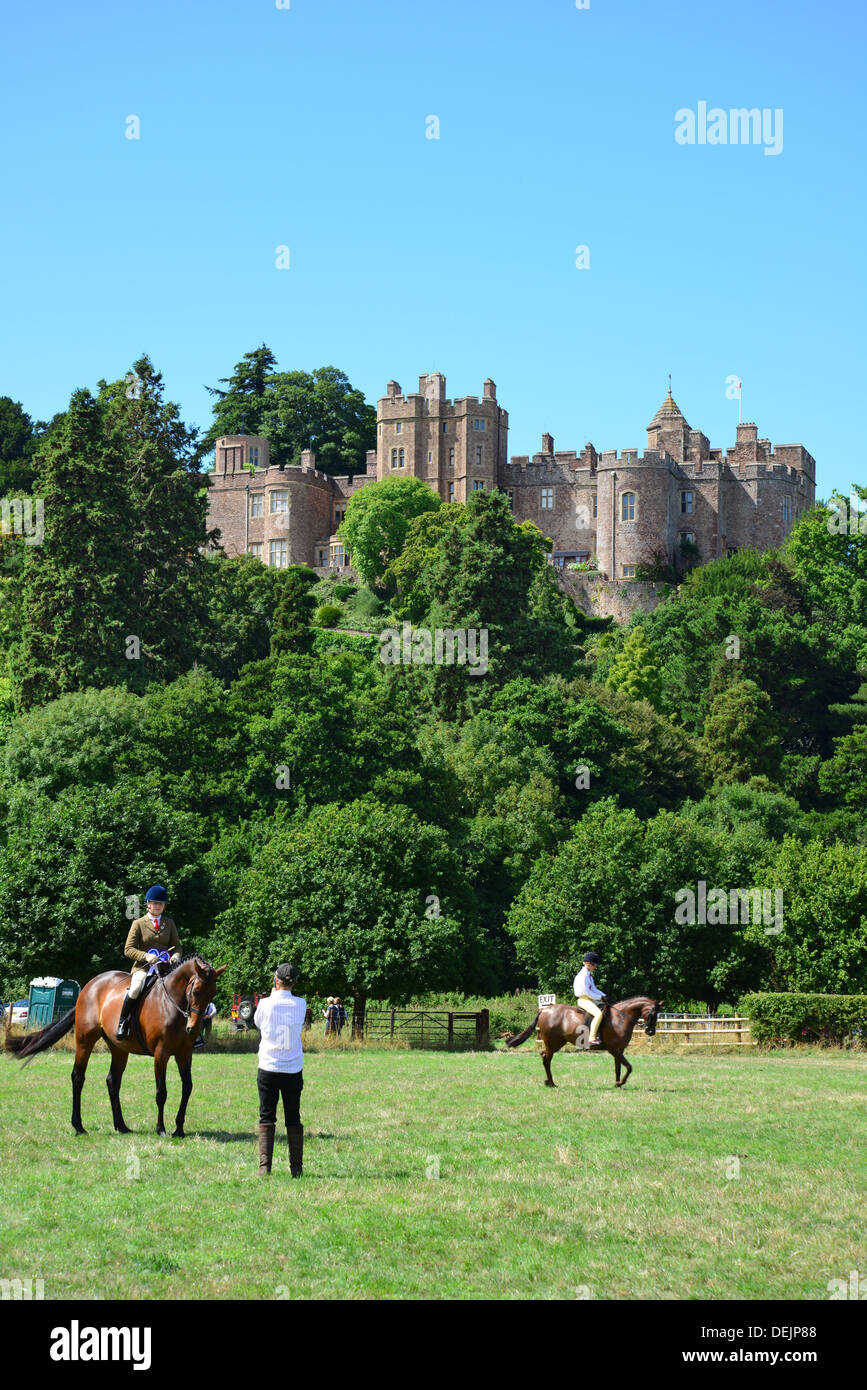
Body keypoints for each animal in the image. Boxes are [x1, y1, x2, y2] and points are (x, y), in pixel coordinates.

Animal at [4, 956, 226, 1139]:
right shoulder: (161, 1054)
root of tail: (90, 985)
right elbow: (161, 1092)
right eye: (196, 991)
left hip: (119, 1049)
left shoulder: (184, 1053)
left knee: (113, 1081)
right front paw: (161, 1129)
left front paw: (179, 1129)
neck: (172, 1003)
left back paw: (121, 1126)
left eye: (212, 993)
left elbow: (187, 1087)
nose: (193, 1028)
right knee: (78, 1078)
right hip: (84, 1041)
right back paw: (79, 1127)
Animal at [505, 995, 661, 1089]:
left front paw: (617, 1083)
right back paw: (551, 1083)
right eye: (652, 1014)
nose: (651, 1032)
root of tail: (545, 1010)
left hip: (557, 1043)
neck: (620, 1018)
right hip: (552, 1042)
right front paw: (621, 1082)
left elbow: (618, 1068)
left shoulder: (618, 1050)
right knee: (546, 1059)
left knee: (545, 1056)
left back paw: (549, 1082)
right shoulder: (614, 1050)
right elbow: (629, 1067)